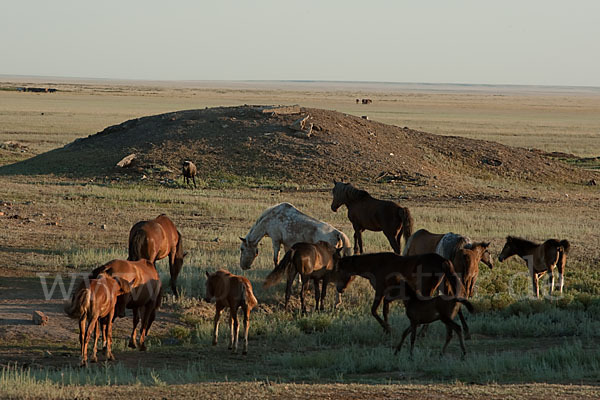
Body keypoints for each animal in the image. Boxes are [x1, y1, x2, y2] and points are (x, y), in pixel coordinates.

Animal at [330, 252, 462, 332]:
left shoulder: (380, 291)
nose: (339, 289)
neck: (376, 265)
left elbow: (374, 310)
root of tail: (443, 260)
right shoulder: (389, 293)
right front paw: (387, 328)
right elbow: (385, 310)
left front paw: (387, 328)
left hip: (427, 289)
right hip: (445, 286)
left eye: (339, 270)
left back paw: (422, 332)